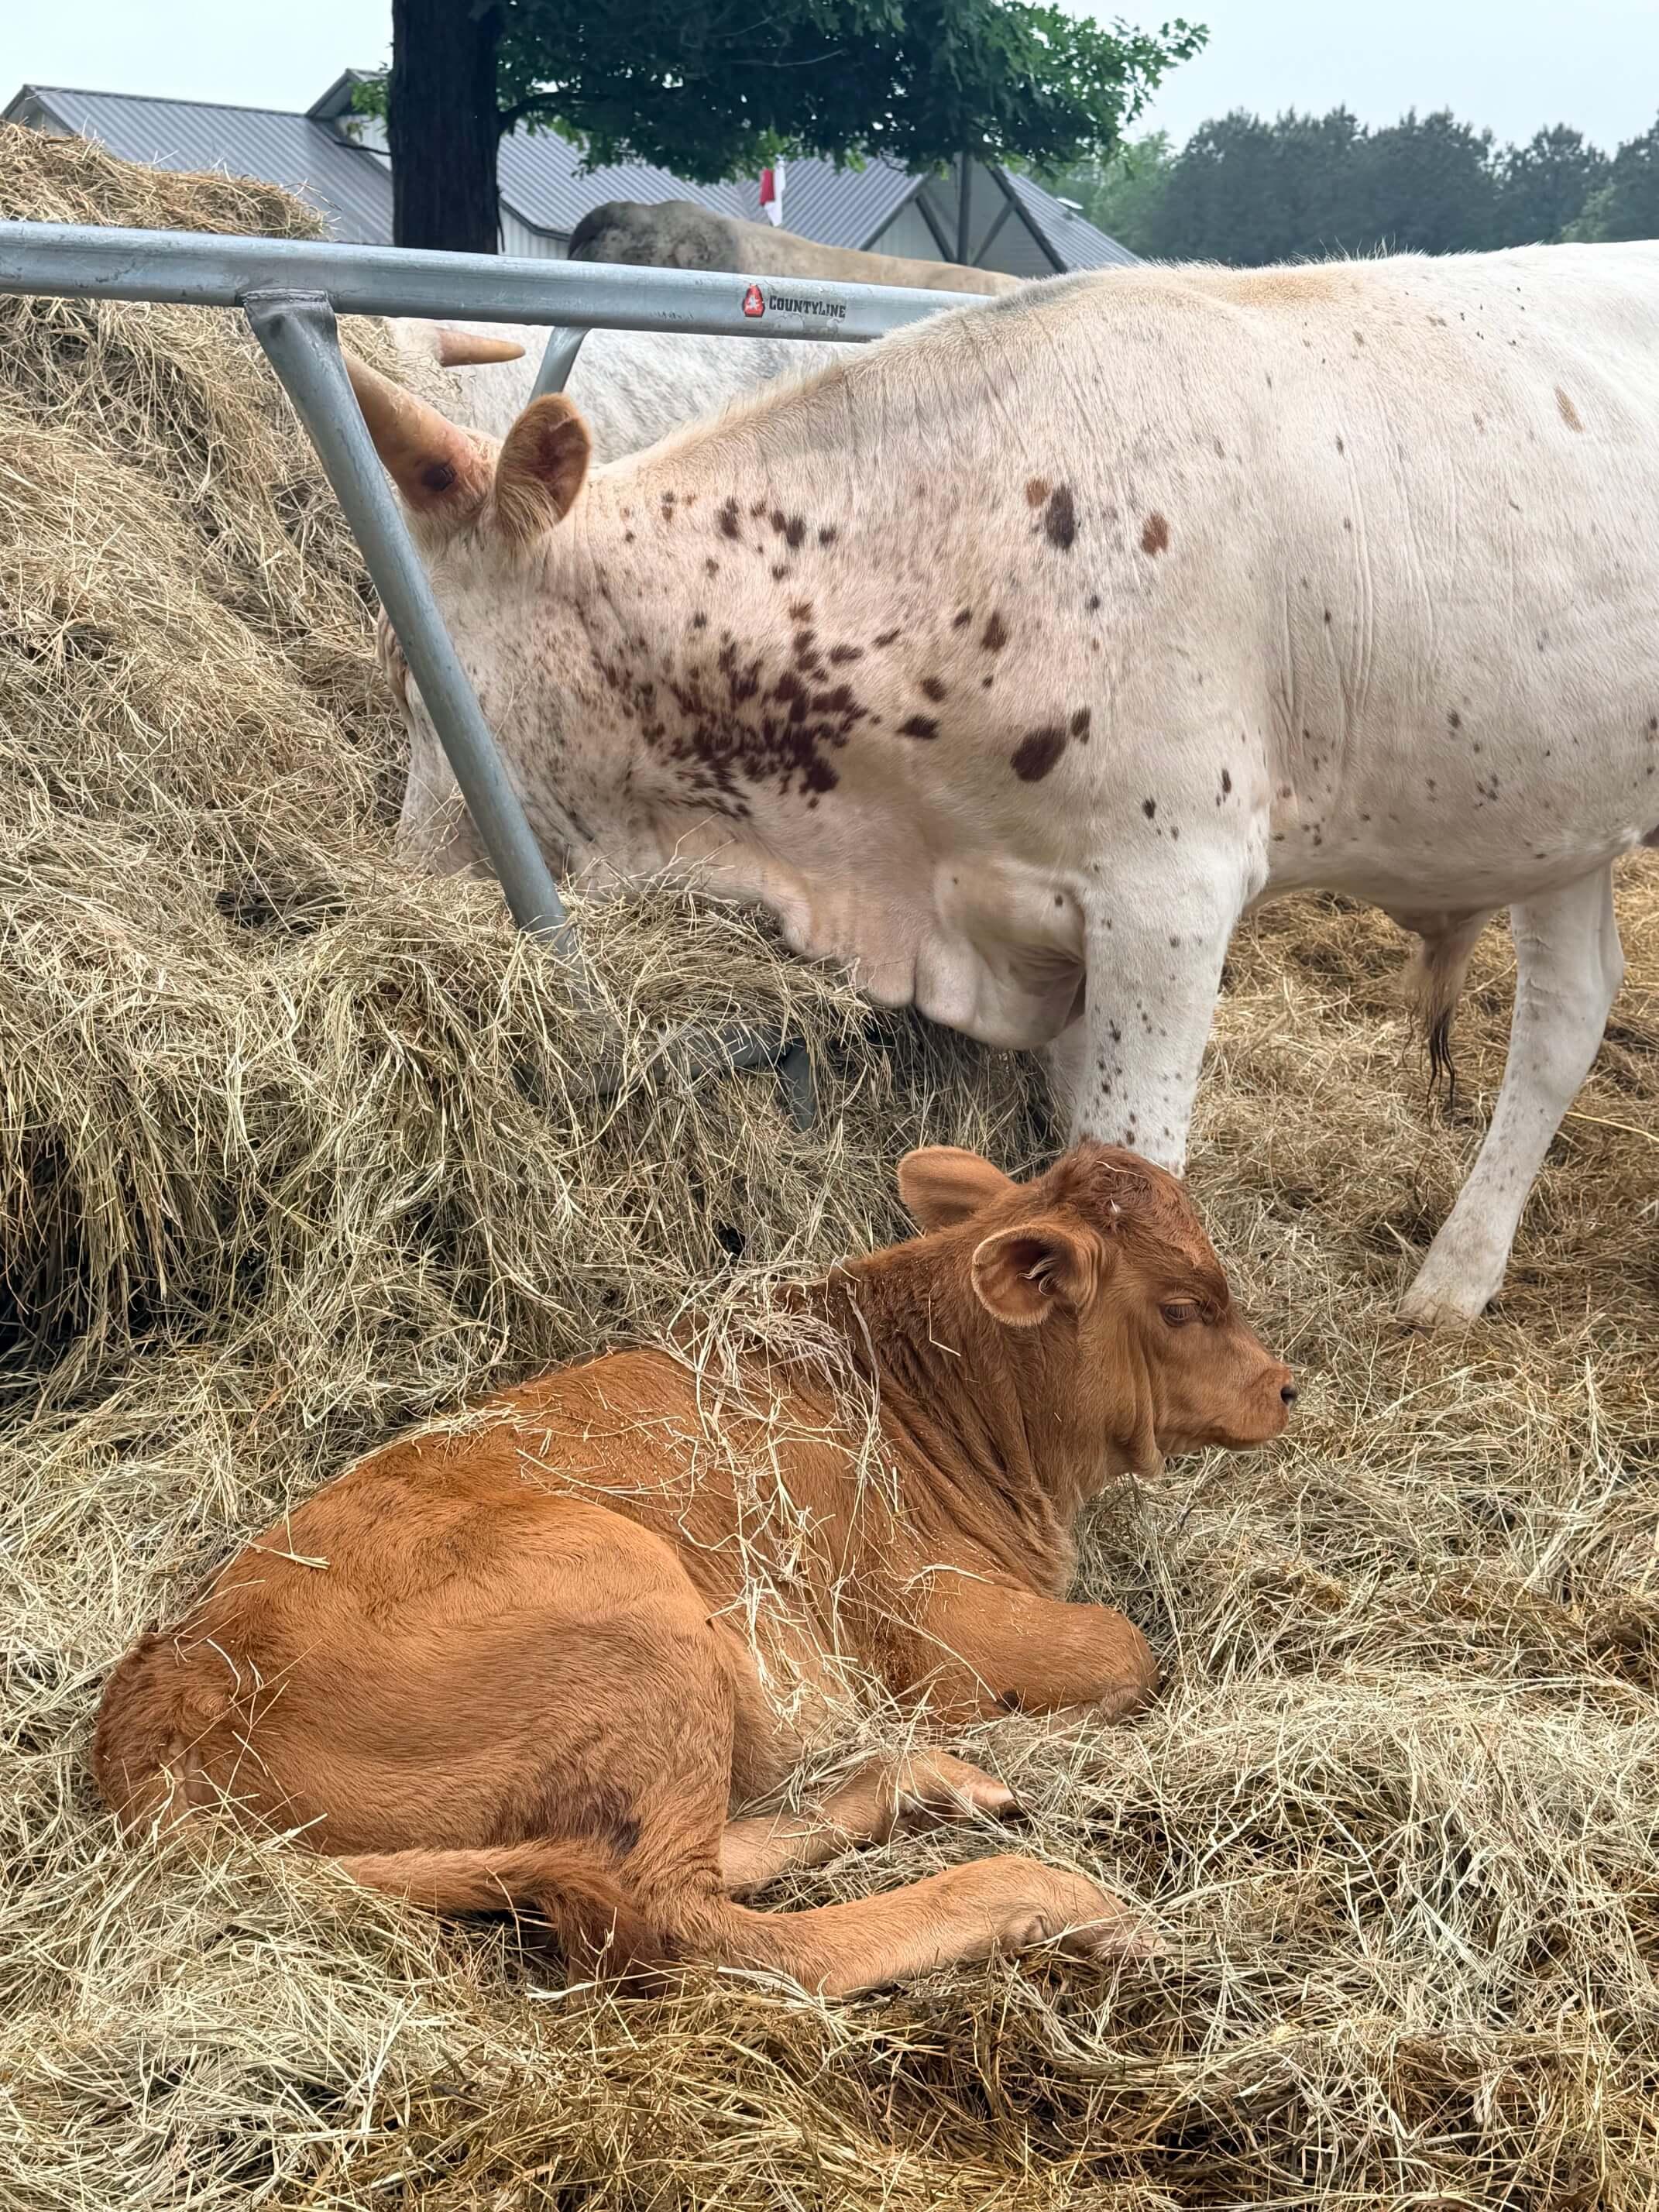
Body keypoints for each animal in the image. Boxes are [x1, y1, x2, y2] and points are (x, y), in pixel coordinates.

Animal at [94, 1143, 1294, 1996]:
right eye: (1186, 1305)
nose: (1285, 1387)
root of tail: (164, 1691)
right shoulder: (930, 1625)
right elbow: (1126, 1650)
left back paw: (926, 1783)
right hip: (633, 1606)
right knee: (678, 1920)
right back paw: (1041, 1890)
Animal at [341, 245, 1659, 1327]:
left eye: (414, 669)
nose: (394, 891)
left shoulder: (1170, 894)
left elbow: (1135, 1155)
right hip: (1552, 805)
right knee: (1564, 1012)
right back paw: (1454, 1279)